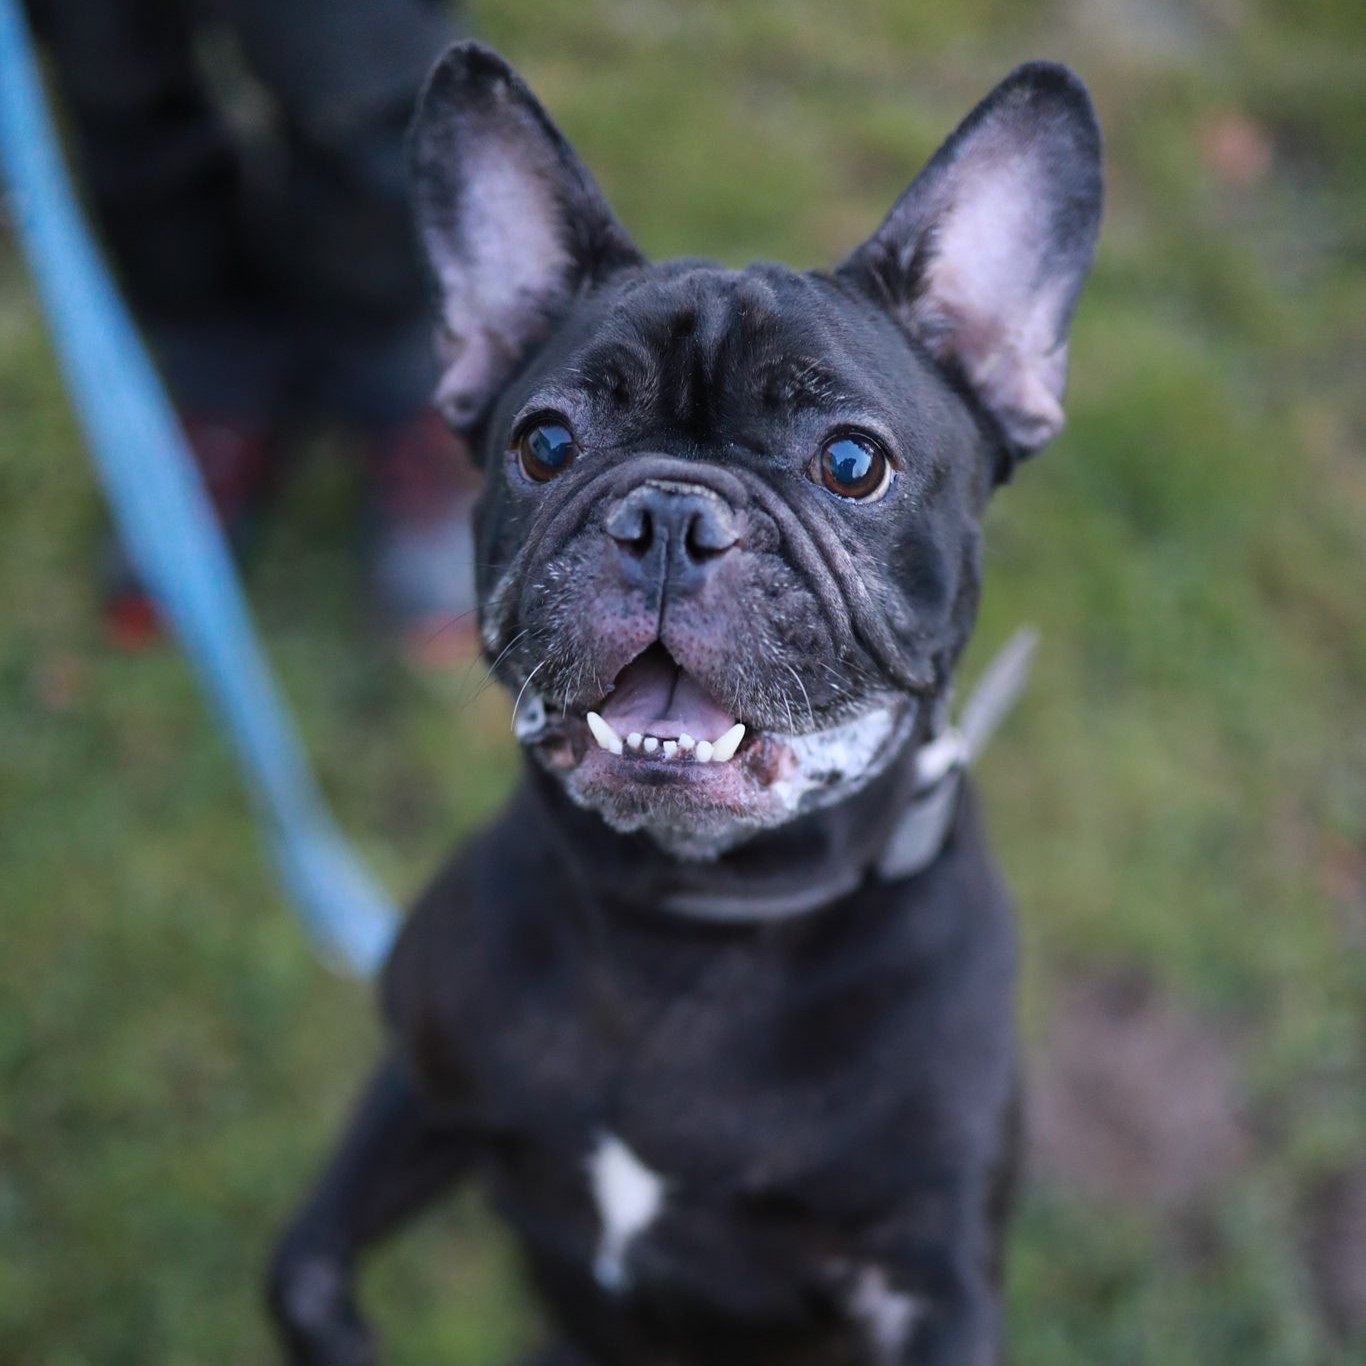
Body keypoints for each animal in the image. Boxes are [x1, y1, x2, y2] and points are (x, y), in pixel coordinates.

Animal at [268, 41, 1101, 1366]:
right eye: (544, 444)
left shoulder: (929, 1283)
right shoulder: (422, 1087)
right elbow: (300, 1271)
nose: (668, 513)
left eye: (852, 462)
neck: (687, 912)